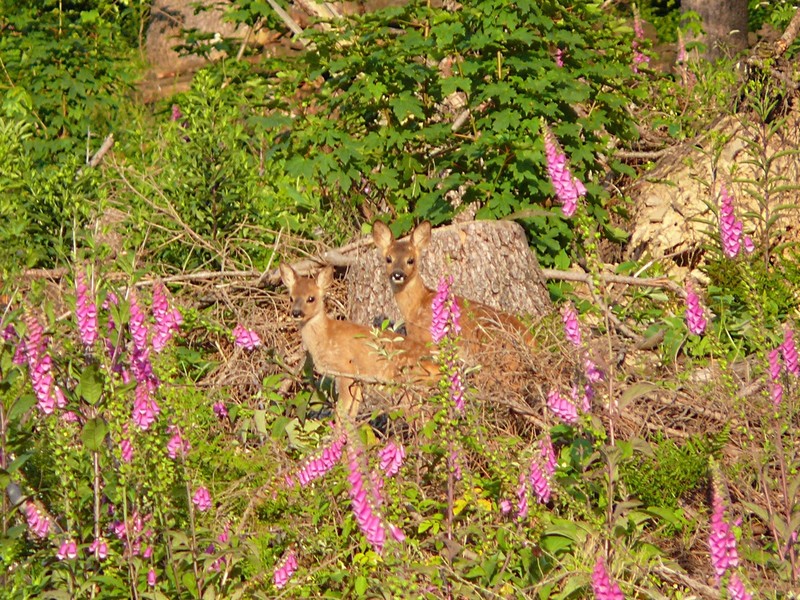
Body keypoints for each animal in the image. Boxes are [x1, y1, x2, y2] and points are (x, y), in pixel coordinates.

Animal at [279, 263, 438, 419]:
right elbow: (352, 412)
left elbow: (342, 411)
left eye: (311, 298)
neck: (326, 336)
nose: (296, 313)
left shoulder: (346, 368)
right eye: (291, 298)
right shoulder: (358, 379)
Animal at [372, 220, 534, 351]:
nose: (397, 274)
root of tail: (531, 339)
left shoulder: (430, 338)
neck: (415, 308)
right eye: (388, 259)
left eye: (410, 260)